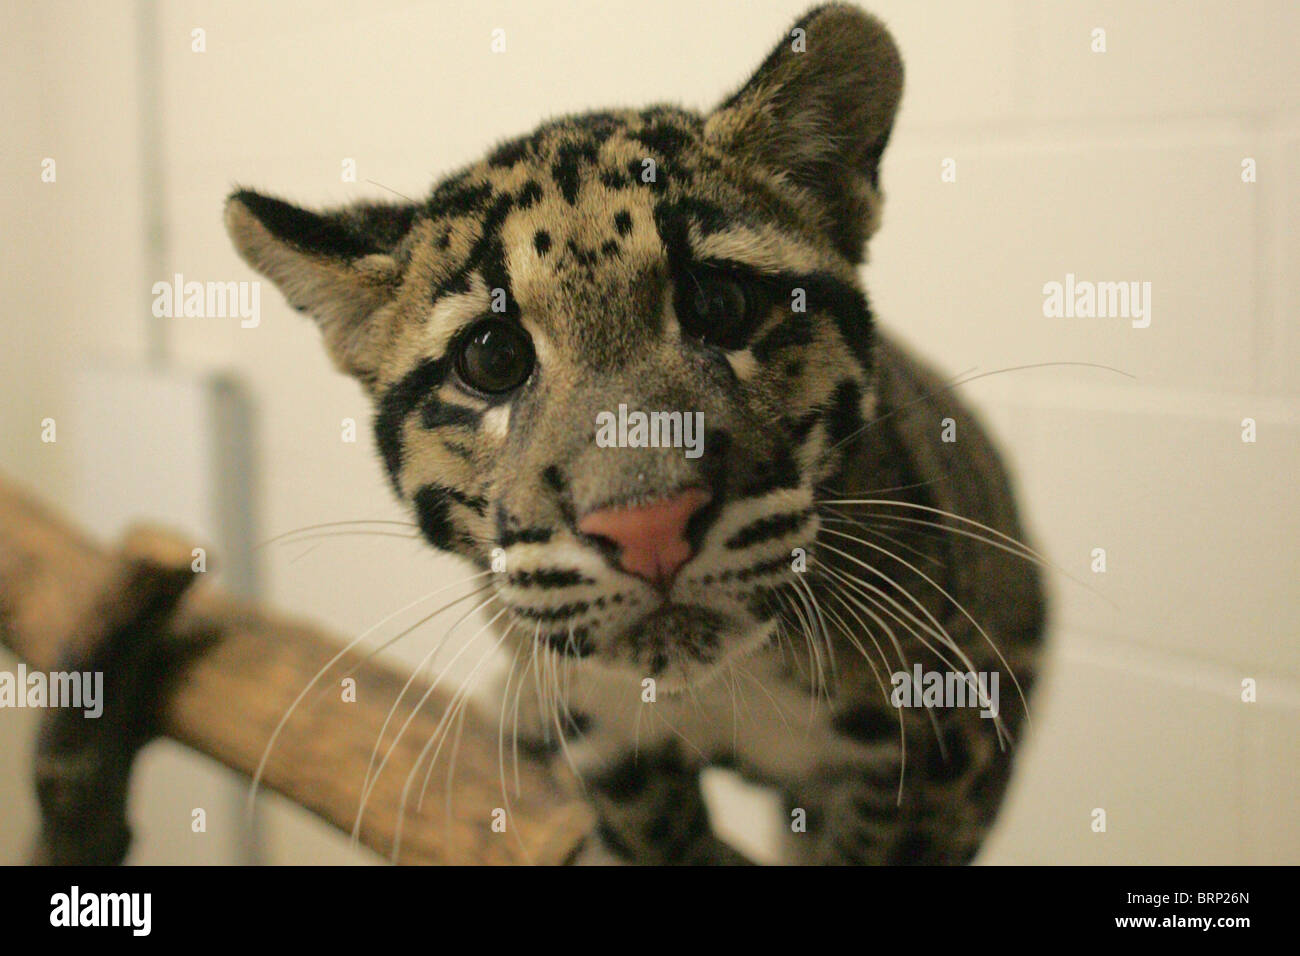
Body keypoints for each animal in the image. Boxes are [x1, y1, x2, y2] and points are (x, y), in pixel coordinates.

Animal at [225, 3, 1046, 865]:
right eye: (491, 358)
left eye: (720, 304)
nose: (648, 528)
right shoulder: (603, 739)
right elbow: (657, 832)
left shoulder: (953, 738)